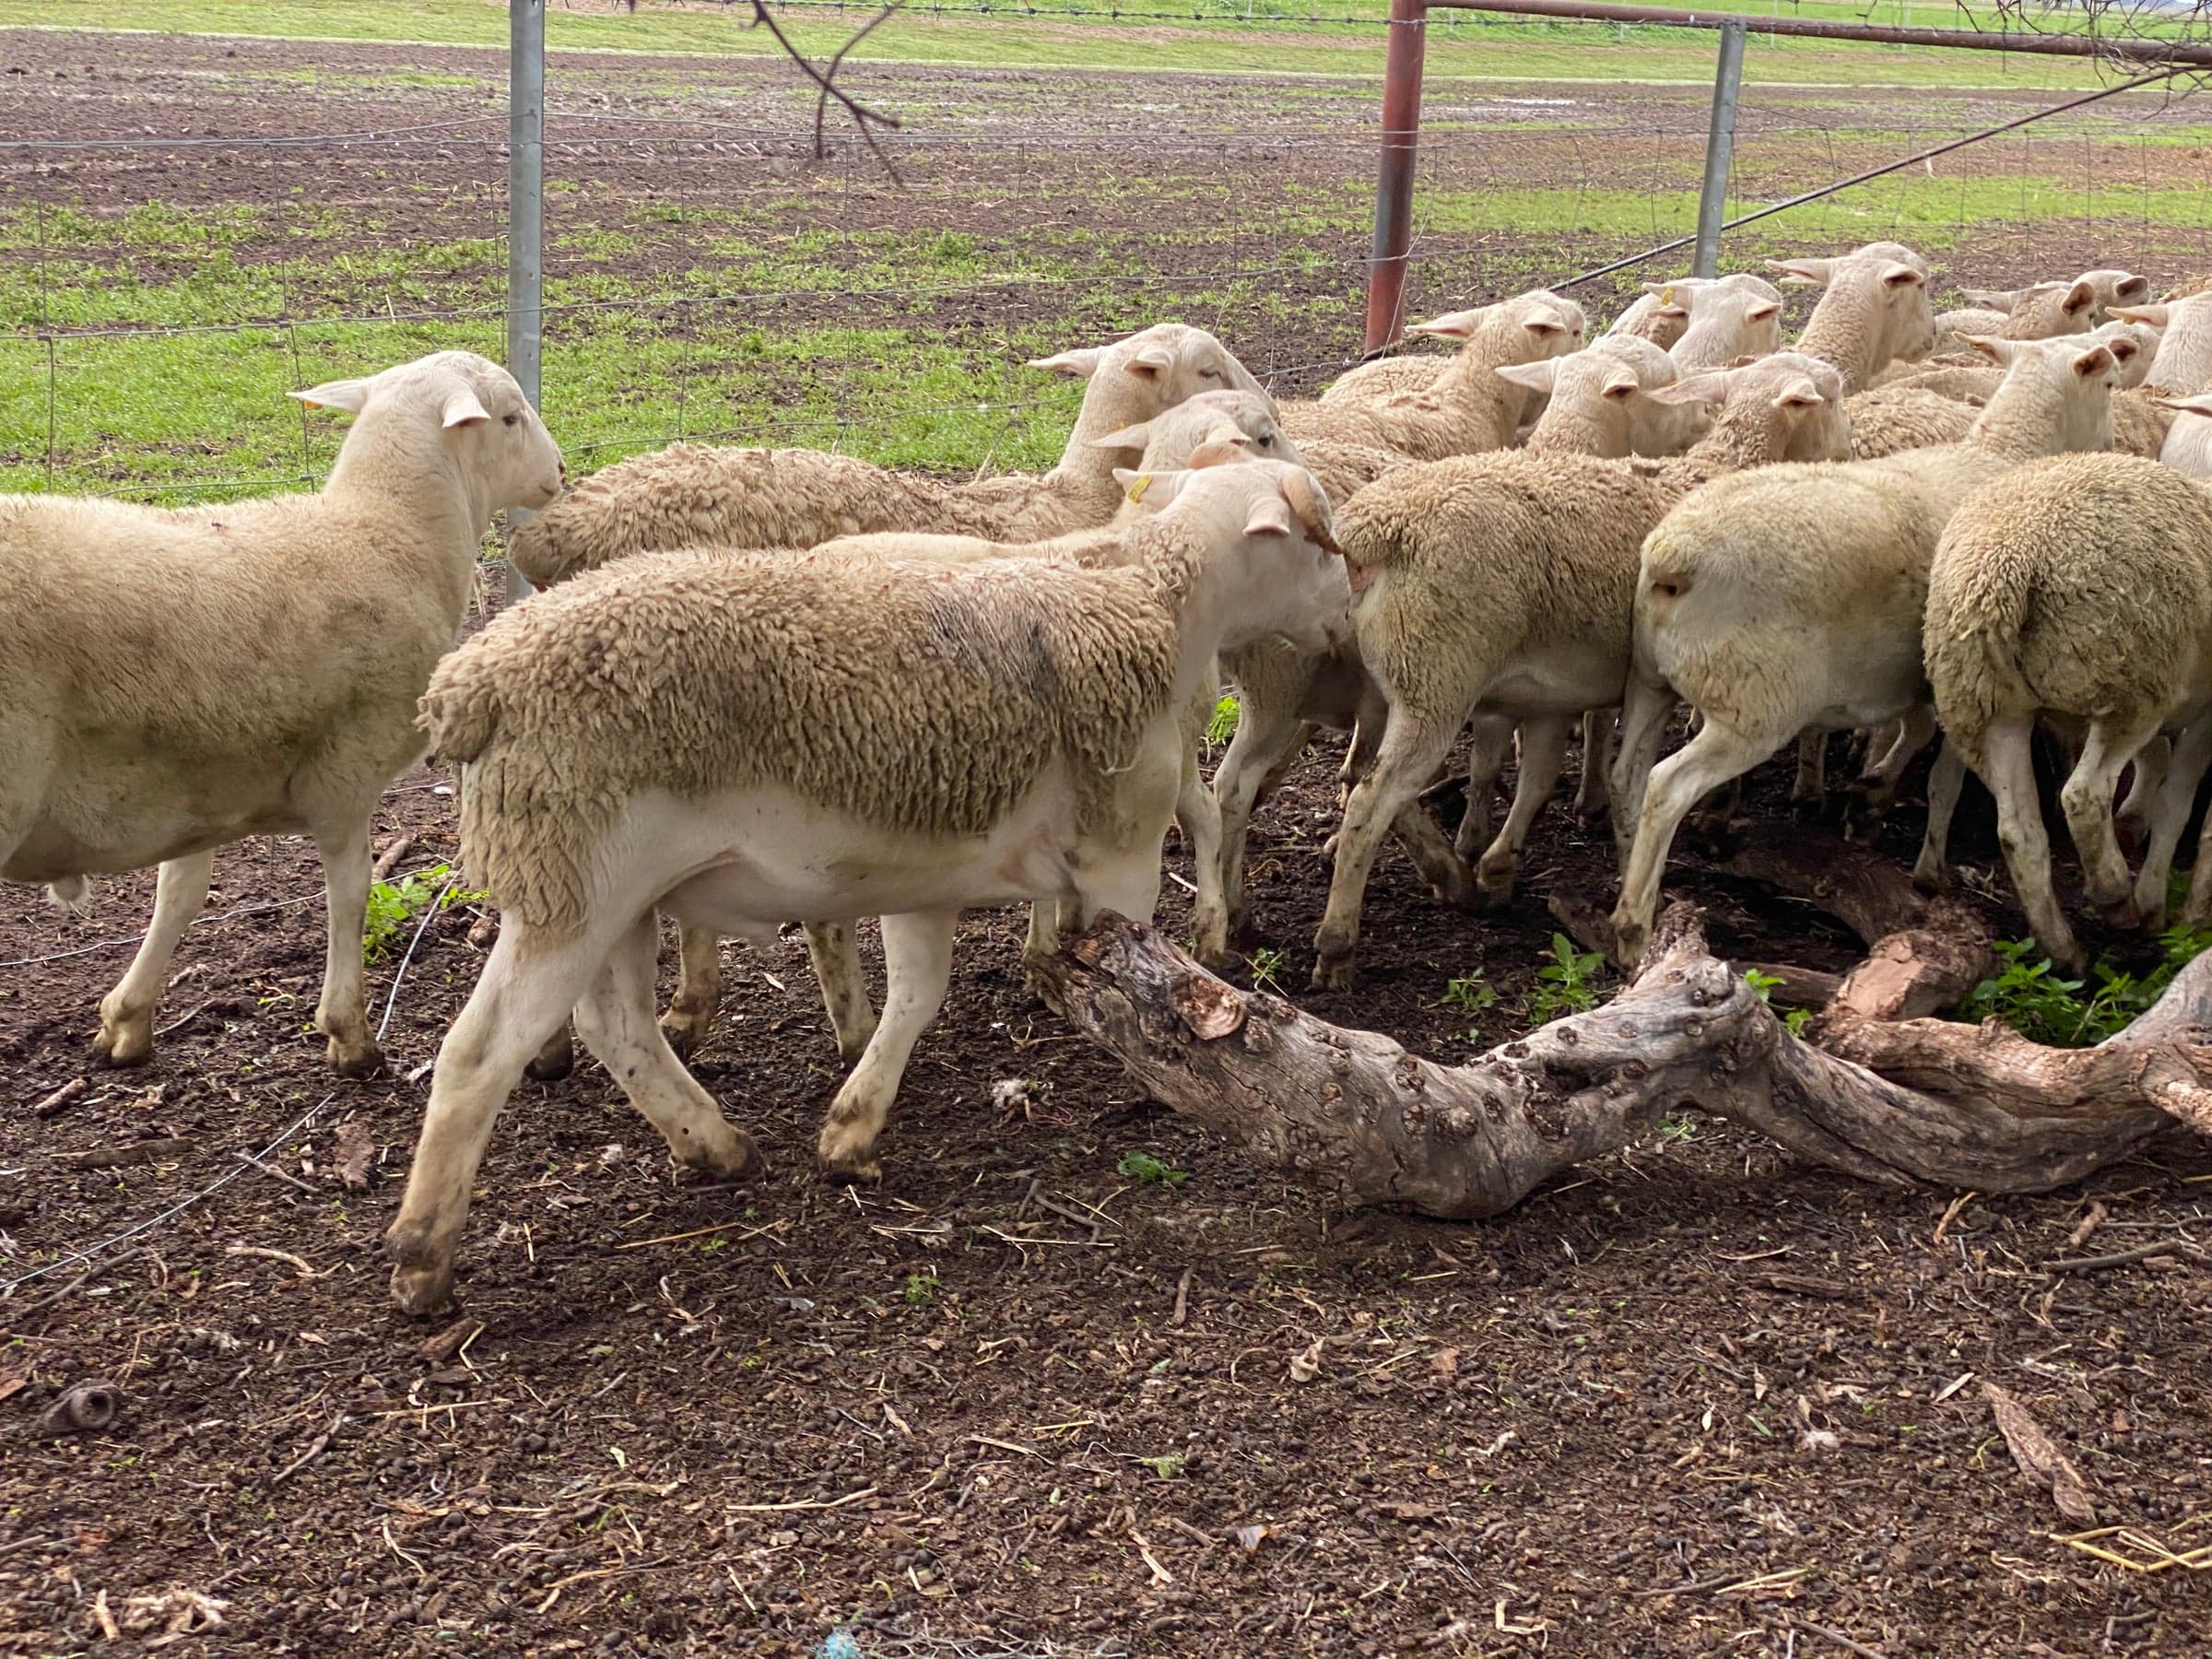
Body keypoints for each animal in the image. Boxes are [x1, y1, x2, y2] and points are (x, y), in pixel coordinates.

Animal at [0, 351, 562, 1075]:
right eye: (513, 417)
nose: (560, 472)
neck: (383, 534)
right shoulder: (347, 773)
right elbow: (349, 895)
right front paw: (349, 1034)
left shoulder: (199, 778)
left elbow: (180, 893)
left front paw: (126, 1019)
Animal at [384, 460, 1352, 1313]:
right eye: (1320, 540)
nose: (1347, 620)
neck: (1154, 601)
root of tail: (468, 686)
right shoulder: (1126, 853)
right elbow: (1135, 990)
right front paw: (1145, 1074)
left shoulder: (931, 873)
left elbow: (919, 995)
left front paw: (851, 1133)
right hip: (571, 879)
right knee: (480, 1054)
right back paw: (423, 1258)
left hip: (607, 892)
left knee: (615, 1026)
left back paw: (714, 1144)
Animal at [1302, 352, 1850, 988]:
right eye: (1835, 397)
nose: (1850, 447)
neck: (1712, 472)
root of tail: (1373, 529)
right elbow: (1635, 784)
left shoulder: (1550, 696)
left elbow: (1539, 781)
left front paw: (1498, 867)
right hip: (1435, 680)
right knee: (1372, 801)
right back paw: (1337, 945)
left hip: (1388, 682)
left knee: (1363, 778)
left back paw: (1449, 875)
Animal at [1605, 332, 2123, 967]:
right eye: (2109, 383)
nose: (2113, 443)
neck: (1997, 454)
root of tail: (1674, 558)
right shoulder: (1967, 680)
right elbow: (1944, 775)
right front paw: (1920, 858)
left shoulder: (1924, 676)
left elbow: (1916, 735)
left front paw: (1870, 793)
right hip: (1754, 705)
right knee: (1666, 785)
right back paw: (1633, 926)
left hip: (1650, 680)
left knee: (1627, 775)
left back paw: (1629, 878)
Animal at [1921, 452, 2212, 971]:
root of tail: (2005, 567)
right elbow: (2180, 808)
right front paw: (2176, 913)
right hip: (2129, 680)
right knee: (2083, 796)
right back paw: (2116, 895)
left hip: (1986, 702)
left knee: (2019, 831)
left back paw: (2064, 952)